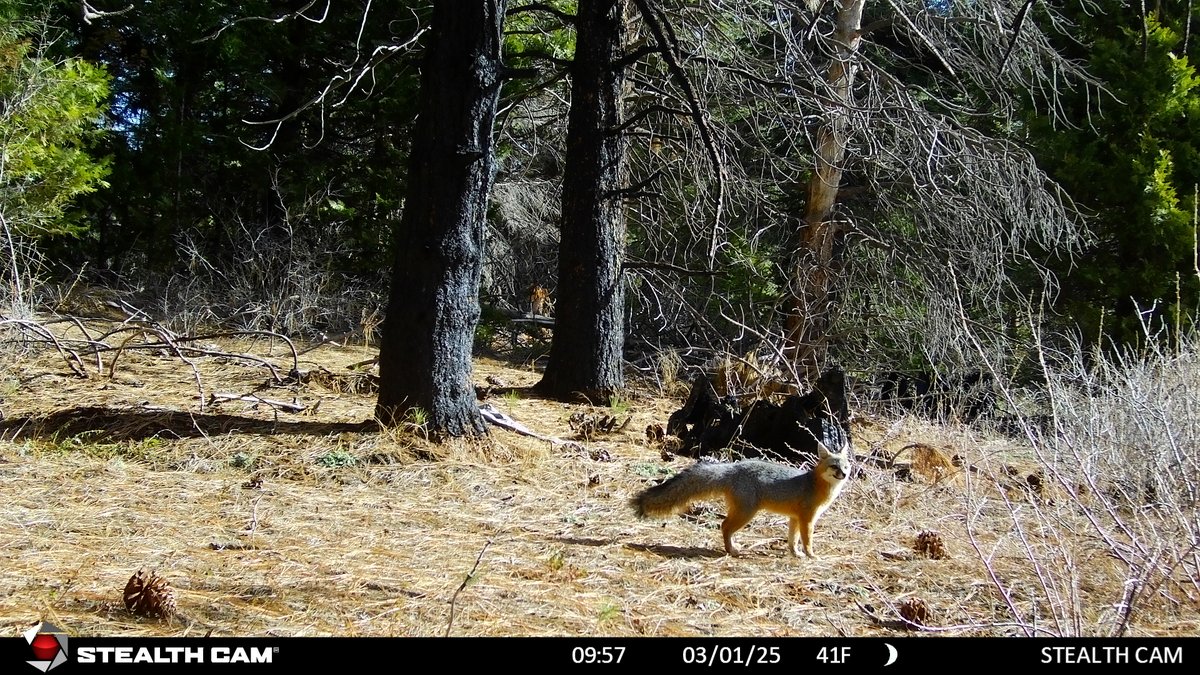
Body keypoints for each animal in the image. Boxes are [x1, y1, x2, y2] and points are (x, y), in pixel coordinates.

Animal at [631, 442, 851, 557]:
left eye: (846, 466)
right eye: (834, 466)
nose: (844, 475)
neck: (815, 485)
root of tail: (735, 467)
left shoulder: (795, 518)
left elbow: (792, 539)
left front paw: (795, 553)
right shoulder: (808, 519)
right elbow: (807, 540)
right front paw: (811, 555)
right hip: (746, 513)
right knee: (724, 526)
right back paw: (732, 550)